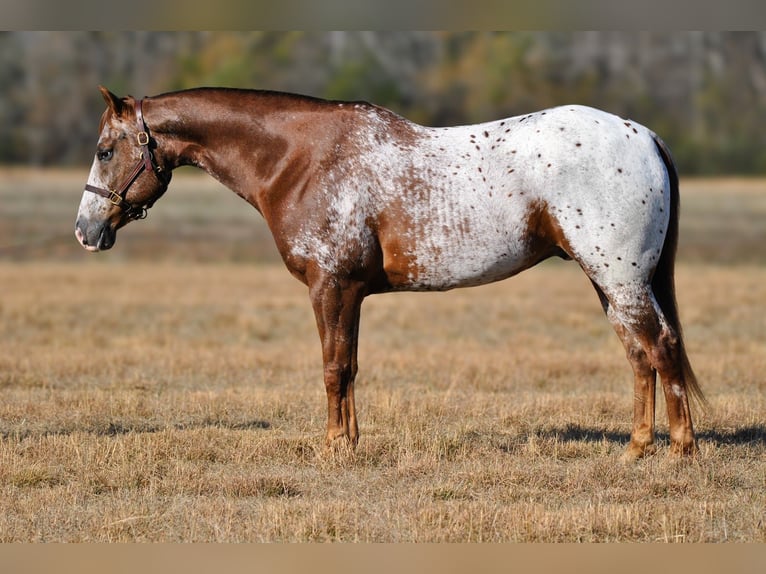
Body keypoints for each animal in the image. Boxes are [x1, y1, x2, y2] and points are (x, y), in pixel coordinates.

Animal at [75, 86, 705, 461]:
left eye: (105, 150)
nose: (85, 230)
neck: (302, 159)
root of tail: (642, 134)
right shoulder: (350, 293)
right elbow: (350, 367)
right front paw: (351, 444)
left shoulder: (330, 287)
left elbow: (332, 368)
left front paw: (333, 448)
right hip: (610, 282)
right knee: (640, 356)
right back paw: (636, 448)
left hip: (620, 280)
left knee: (662, 348)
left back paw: (680, 450)